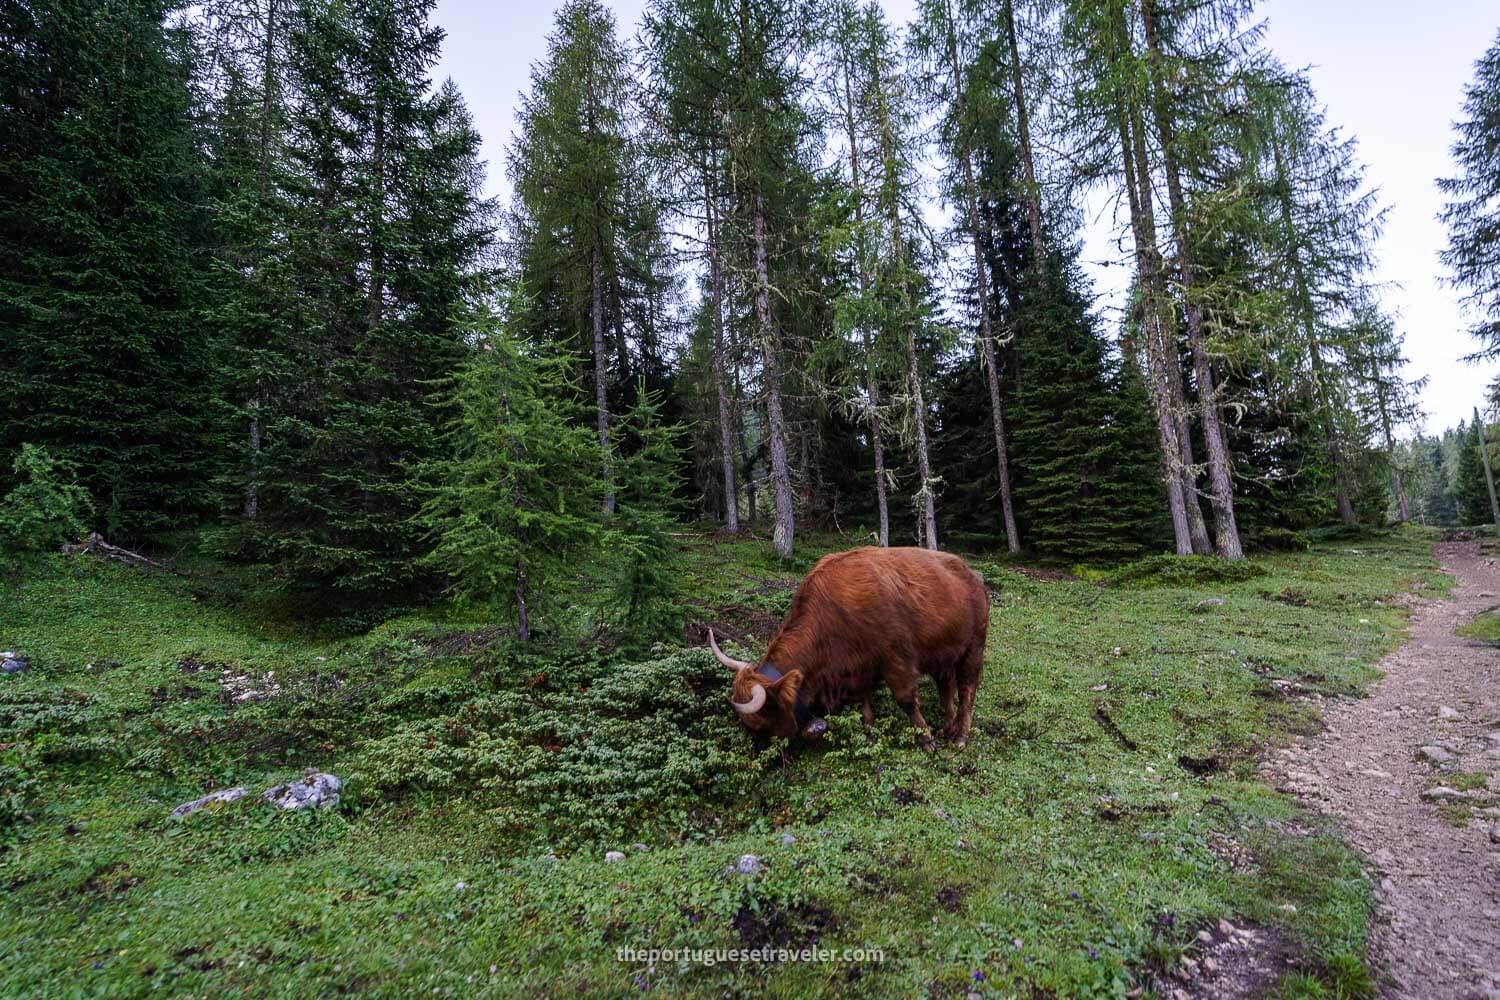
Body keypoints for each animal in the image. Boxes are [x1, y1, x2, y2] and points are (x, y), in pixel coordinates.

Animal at [708, 542, 990, 746]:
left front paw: (925, 739)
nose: (759, 750)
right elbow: (863, 702)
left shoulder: (897, 659)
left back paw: (960, 736)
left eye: (759, 722)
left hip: (973, 648)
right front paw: (870, 731)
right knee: (946, 687)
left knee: (967, 689)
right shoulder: (858, 666)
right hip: (944, 653)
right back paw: (947, 727)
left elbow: (906, 699)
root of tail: (972, 575)